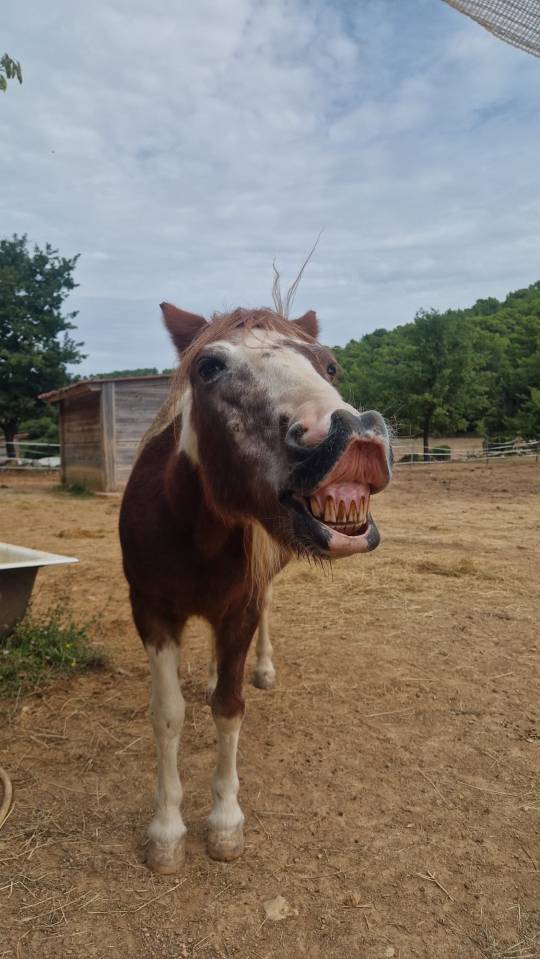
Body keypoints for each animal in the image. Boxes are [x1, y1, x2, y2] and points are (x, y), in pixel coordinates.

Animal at [119, 302, 392, 874]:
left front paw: (225, 823)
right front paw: (166, 832)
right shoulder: (151, 611)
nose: (354, 434)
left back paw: (261, 668)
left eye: (329, 366)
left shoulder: (239, 609)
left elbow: (229, 706)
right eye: (208, 367)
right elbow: (167, 714)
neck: (194, 527)